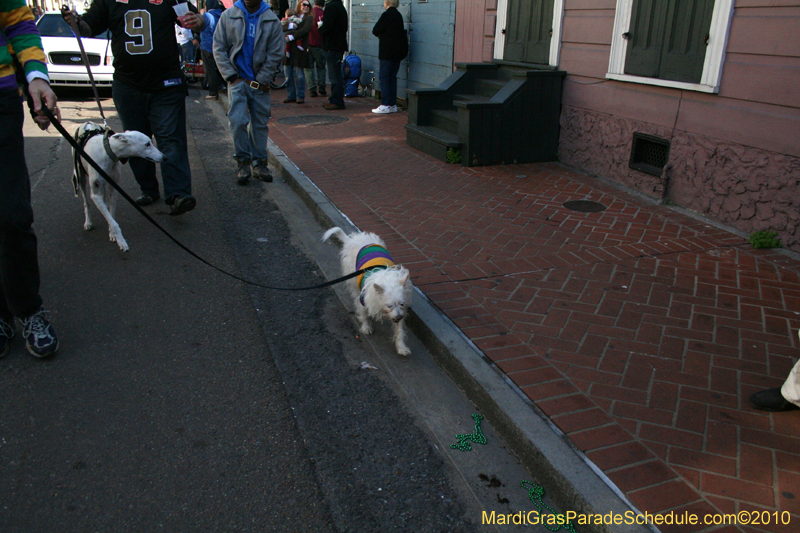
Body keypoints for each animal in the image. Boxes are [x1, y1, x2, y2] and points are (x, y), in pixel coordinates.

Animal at [72, 122, 165, 251]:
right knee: (86, 202)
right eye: (147, 144)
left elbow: (111, 214)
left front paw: (112, 233)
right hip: (81, 177)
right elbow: (113, 221)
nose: (165, 157)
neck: (107, 151)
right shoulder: (95, 194)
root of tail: (87, 123)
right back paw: (88, 222)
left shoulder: (113, 187)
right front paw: (121, 240)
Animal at [324, 227, 412, 356]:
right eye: (389, 305)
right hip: (353, 281)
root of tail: (352, 239)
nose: (399, 317)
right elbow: (363, 313)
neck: (387, 280)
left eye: (402, 304)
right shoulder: (363, 299)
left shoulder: (400, 311)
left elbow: (399, 330)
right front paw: (366, 327)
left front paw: (401, 347)